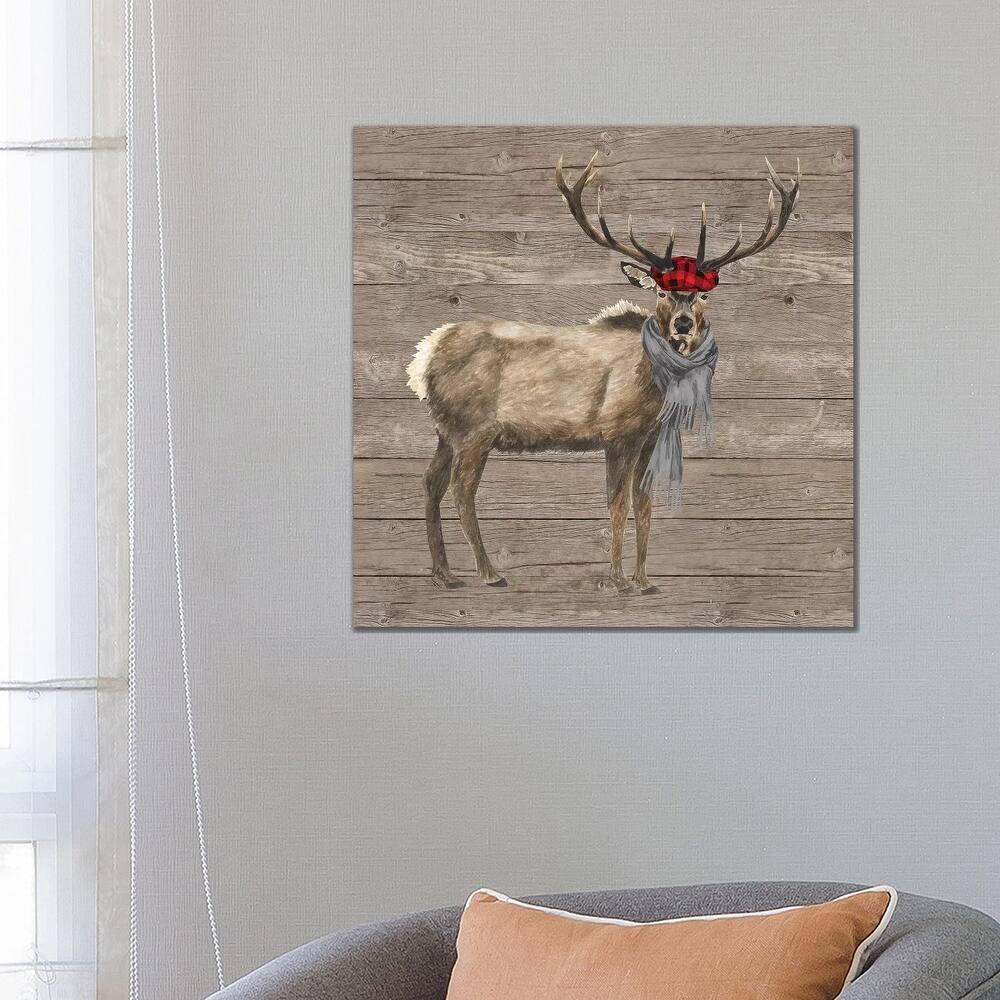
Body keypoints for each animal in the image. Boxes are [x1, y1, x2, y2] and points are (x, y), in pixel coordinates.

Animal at [406, 152, 801, 594]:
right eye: (661, 291)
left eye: (703, 294)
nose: (683, 324)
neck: (655, 387)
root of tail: (424, 357)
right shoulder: (617, 432)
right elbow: (617, 503)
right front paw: (619, 580)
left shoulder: (649, 438)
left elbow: (645, 505)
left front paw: (645, 580)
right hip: (474, 429)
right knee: (461, 490)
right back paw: (489, 573)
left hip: (446, 429)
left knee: (430, 482)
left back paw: (444, 574)